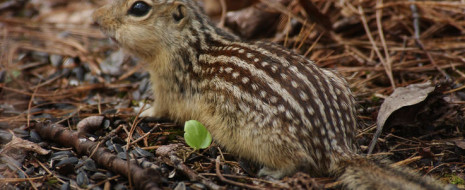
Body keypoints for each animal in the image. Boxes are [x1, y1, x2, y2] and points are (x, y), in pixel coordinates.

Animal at [93, 0, 454, 189]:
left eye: (139, 7)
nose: (96, 20)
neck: (189, 42)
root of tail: (335, 141)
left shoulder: (169, 85)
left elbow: (161, 109)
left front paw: (140, 109)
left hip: (260, 135)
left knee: (299, 161)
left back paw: (272, 172)